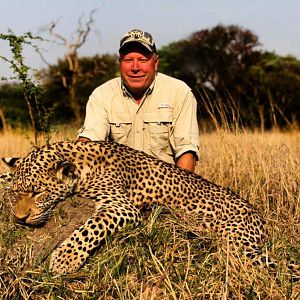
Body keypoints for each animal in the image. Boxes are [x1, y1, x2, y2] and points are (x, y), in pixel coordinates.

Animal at [0, 141, 298, 276]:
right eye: (17, 193)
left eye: (37, 192)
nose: (20, 219)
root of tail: (259, 216)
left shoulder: (122, 207)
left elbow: (90, 228)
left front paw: (65, 259)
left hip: (237, 244)